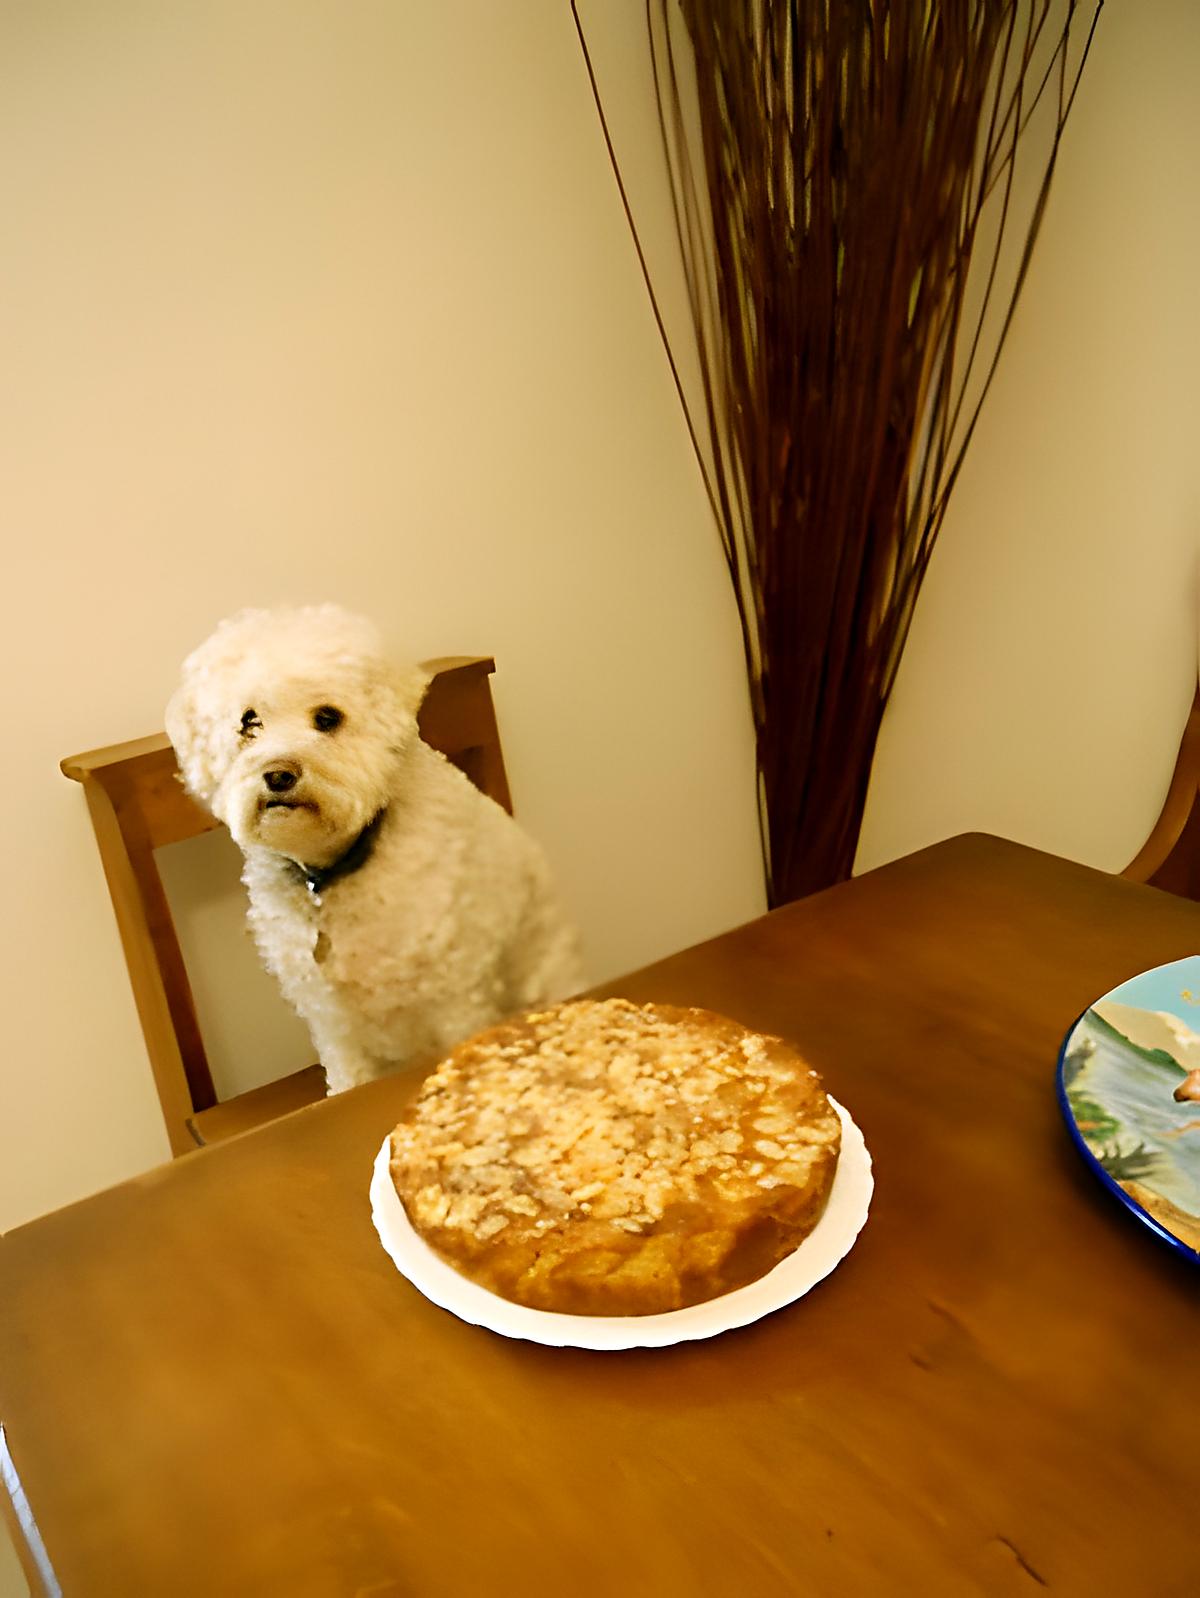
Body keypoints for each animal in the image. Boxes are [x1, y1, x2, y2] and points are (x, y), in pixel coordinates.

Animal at [167, 604, 581, 1093]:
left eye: (327, 717)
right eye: (249, 723)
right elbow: (348, 1077)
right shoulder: (332, 1022)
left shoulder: (454, 997)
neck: (335, 871)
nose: (279, 774)